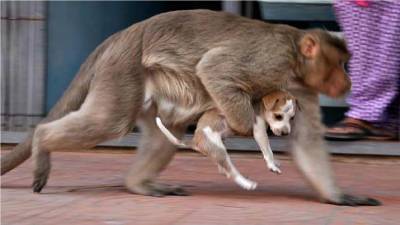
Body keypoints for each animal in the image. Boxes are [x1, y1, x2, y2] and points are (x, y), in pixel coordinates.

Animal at [155, 89, 296, 190]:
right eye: (278, 116)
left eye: (292, 118)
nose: (286, 133)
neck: (260, 106)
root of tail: (195, 140)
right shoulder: (259, 131)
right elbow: (268, 150)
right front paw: (272, 166)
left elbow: (270, 150)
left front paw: (276, 162)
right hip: (219, 150)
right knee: (231, 171)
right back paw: (247, 184)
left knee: (224, 170)